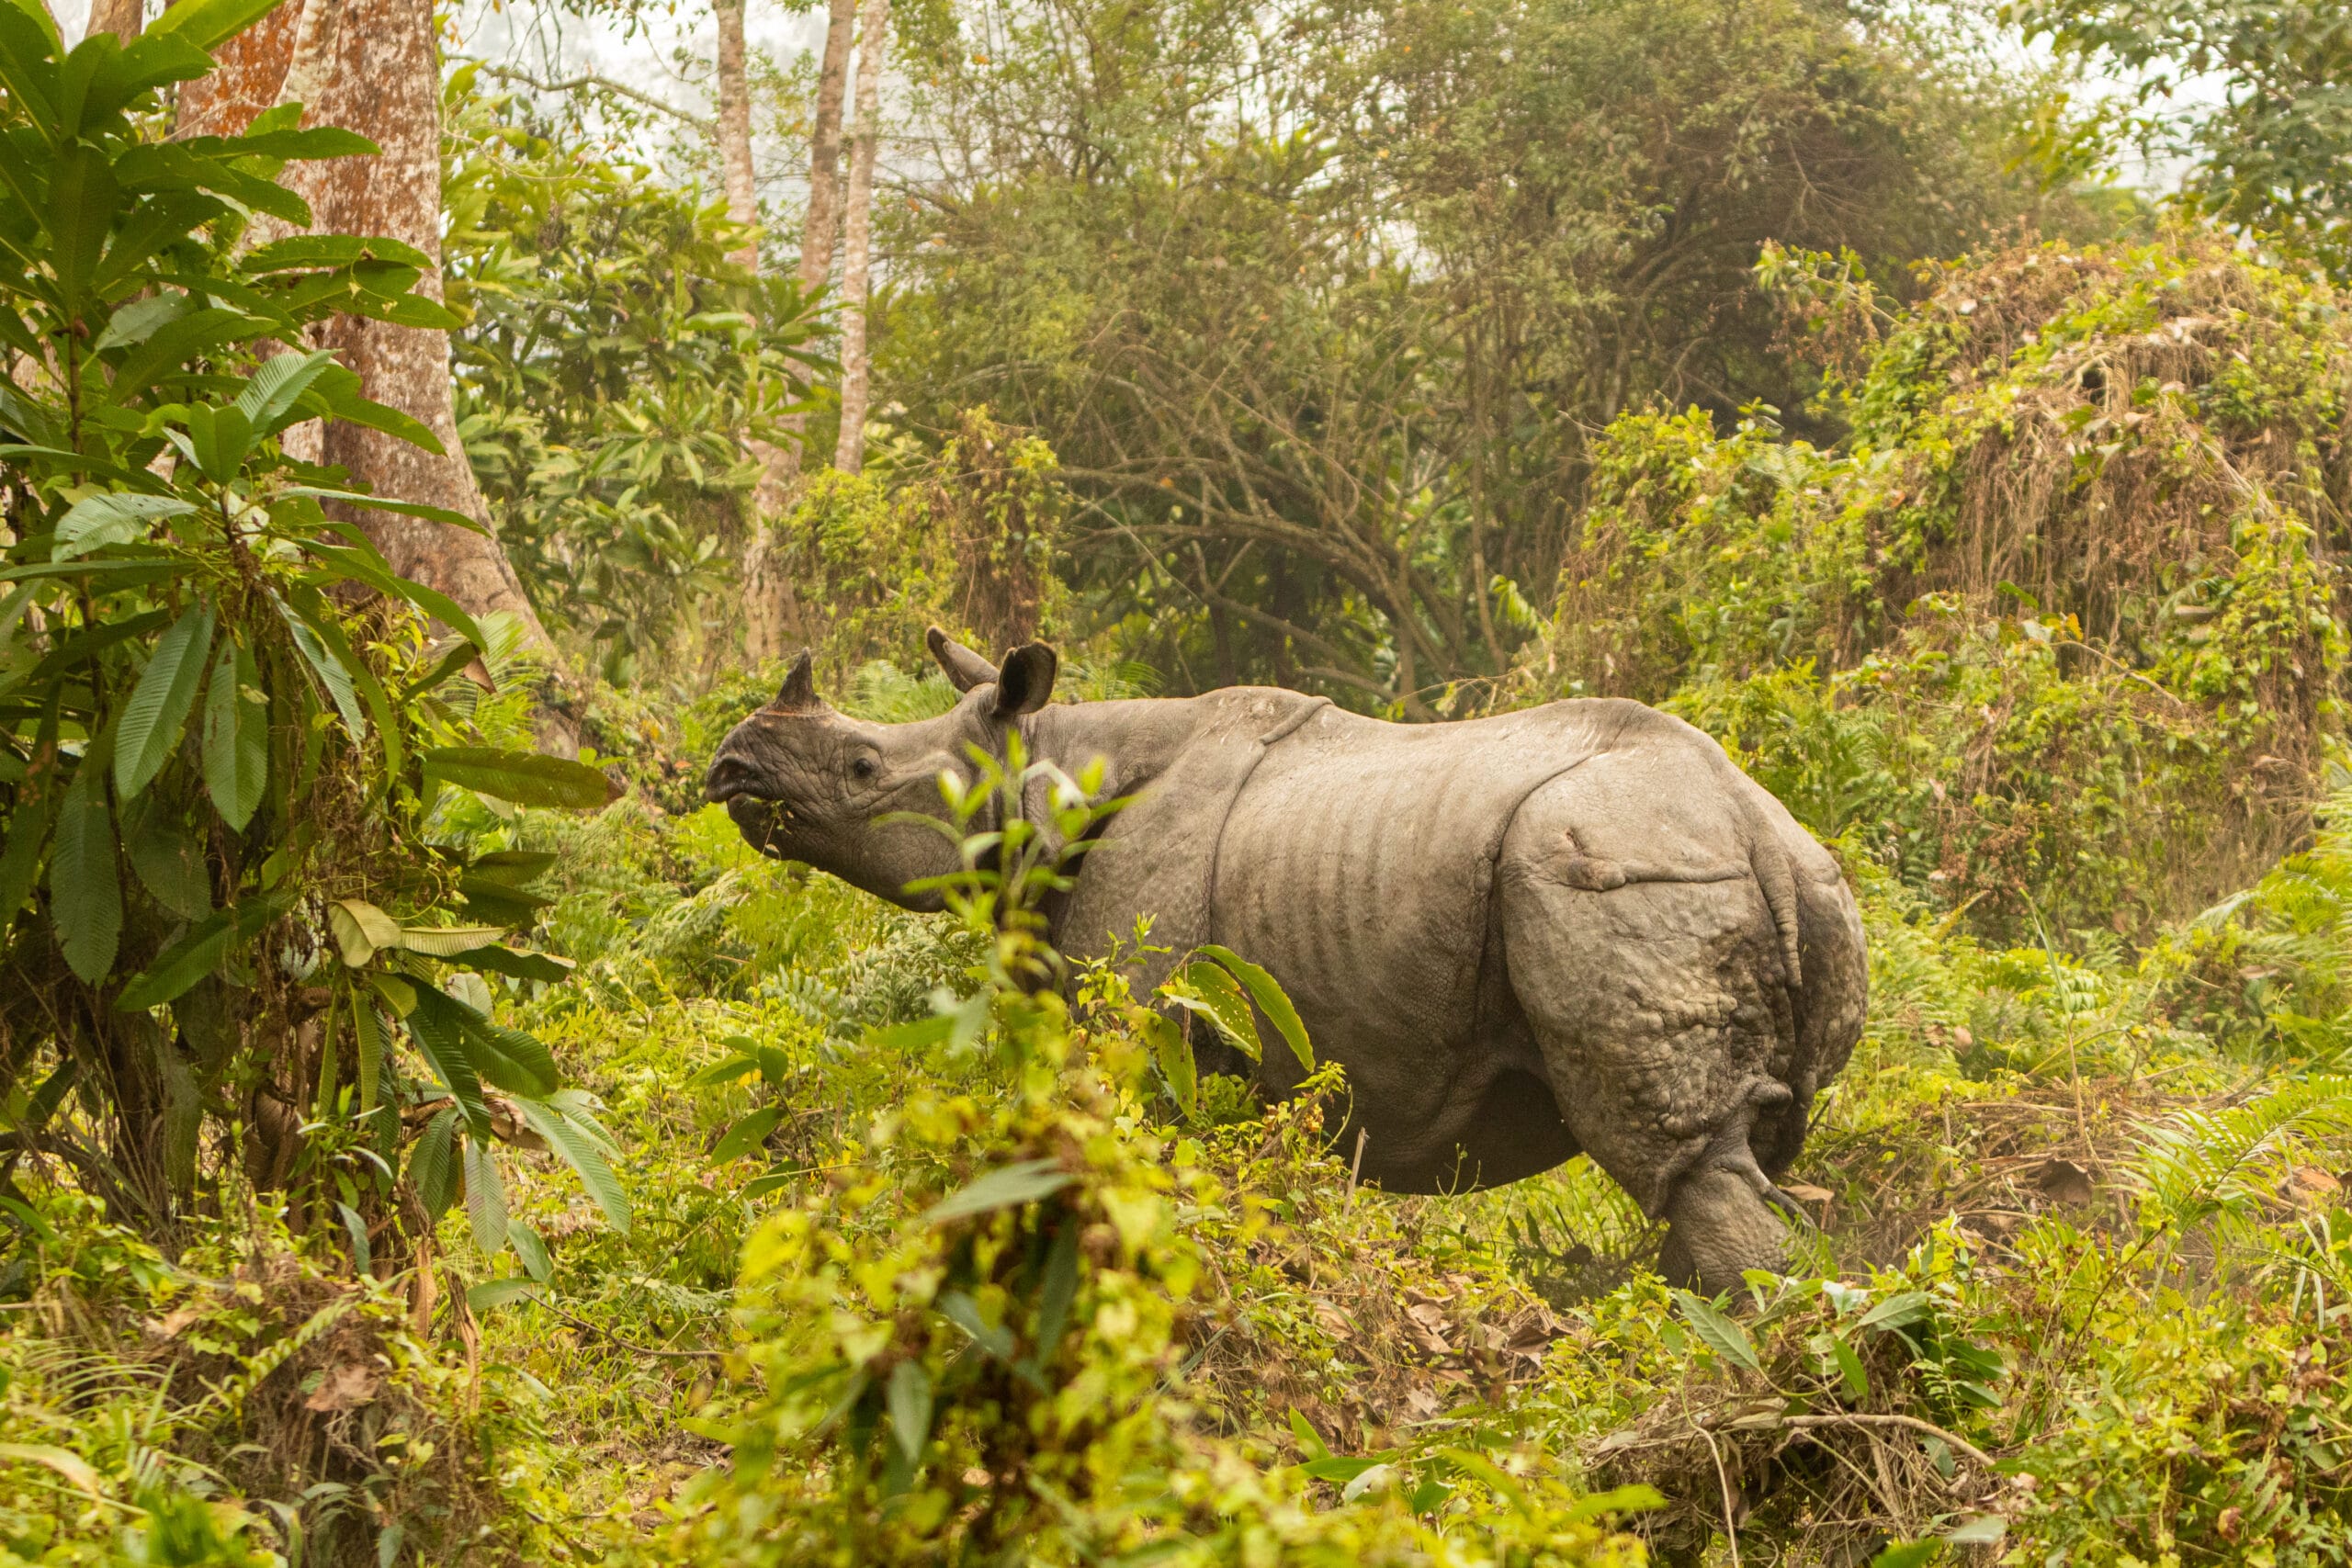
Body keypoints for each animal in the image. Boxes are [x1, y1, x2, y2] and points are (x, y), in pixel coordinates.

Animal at [704, 630, 1867, 1291]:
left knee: (1681, 1165)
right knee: (1752, 1155)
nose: (727, 768)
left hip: (1613, 873)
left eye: (863, 767)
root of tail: (1763, 834)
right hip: (1783, 890)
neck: (1051, 760)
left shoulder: (1148, 1006)